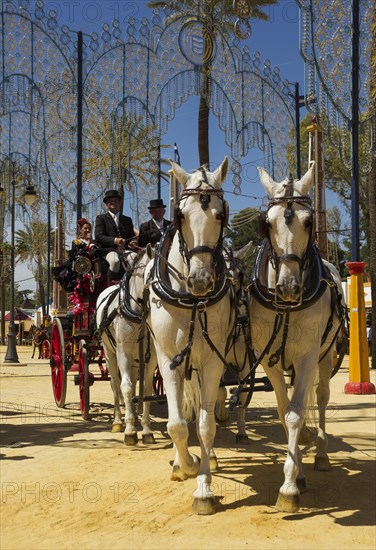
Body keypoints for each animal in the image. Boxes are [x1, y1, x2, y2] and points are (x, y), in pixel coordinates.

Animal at [97, 248, 157, 446]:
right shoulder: (123, 353)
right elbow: (127, 387)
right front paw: (130, 430)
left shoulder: (152, 357)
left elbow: (146, 389)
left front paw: (146, 430)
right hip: (110, 353)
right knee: (116, 383)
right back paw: (117, 421)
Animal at [145, 157, 235, 516]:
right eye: (181, 215)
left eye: (221, 214)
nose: (200, 280)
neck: (191, 299)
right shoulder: (169, 359)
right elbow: (176, 425)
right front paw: (186, 465)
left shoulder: (212, 361)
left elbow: (206, 425)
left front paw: (204, 488)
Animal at [248, 163, 346, 512]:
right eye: (267, 224)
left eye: (308, 222)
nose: (289, 287)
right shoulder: (269, 359)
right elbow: (283, 411)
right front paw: (297, 474)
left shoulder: (306, 357)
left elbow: (295, 413)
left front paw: (289, 487)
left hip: (325, 357)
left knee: (320, 399)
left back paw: (321, 454)